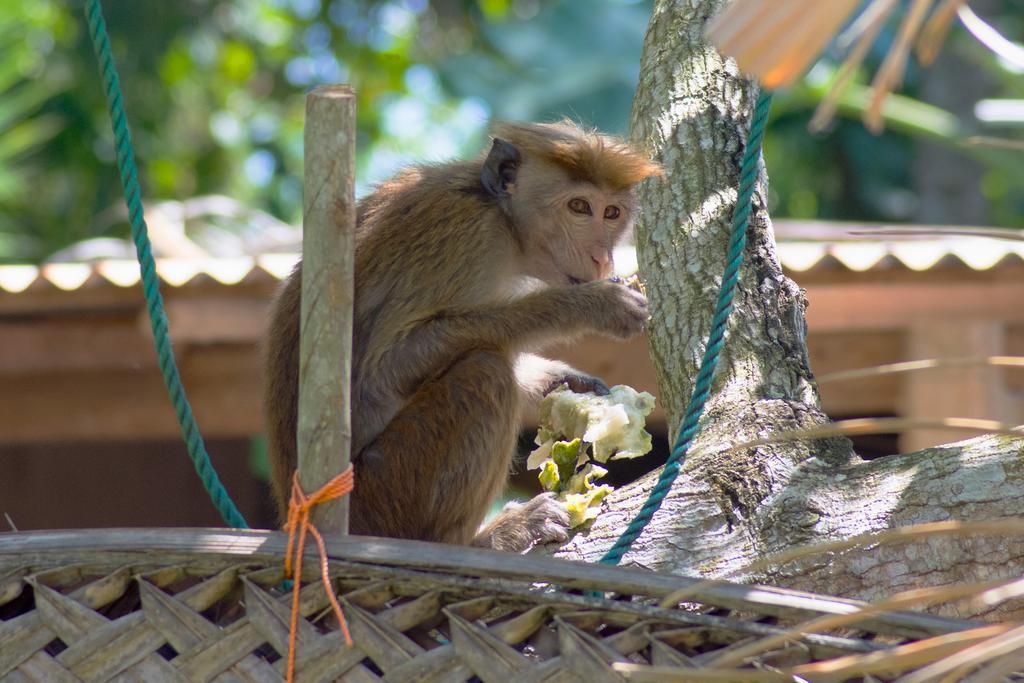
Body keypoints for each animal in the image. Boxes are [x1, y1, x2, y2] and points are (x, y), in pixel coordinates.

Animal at [264, 120, 659, 552]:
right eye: (579, 207)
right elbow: (383, 370)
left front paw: (565, 381)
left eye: (611, 212)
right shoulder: (465, 235)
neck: (504, 223)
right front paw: (591, 305)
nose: (602, 257)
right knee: (485, 373)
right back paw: (480, 540)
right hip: (384, 496)